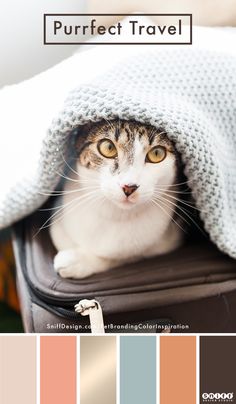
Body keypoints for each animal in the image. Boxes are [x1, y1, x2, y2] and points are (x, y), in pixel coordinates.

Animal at [49, 120, 186, 278]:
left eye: (157, 153)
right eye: (108, 147)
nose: (129, 187)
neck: (116, 214)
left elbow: (127, 256)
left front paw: (77, 261)